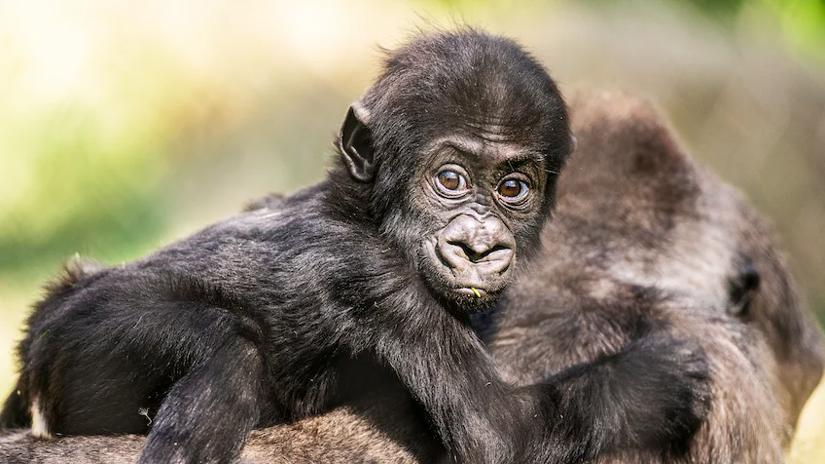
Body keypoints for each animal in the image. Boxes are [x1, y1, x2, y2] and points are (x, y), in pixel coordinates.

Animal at [0, 31, 711, 464]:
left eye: (513, 187)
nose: (481, 244)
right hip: (78, 341)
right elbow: (503, 431)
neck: (366, 213)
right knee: (229, 354)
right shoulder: (378, 281)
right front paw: (656, 378)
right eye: (450, 180)